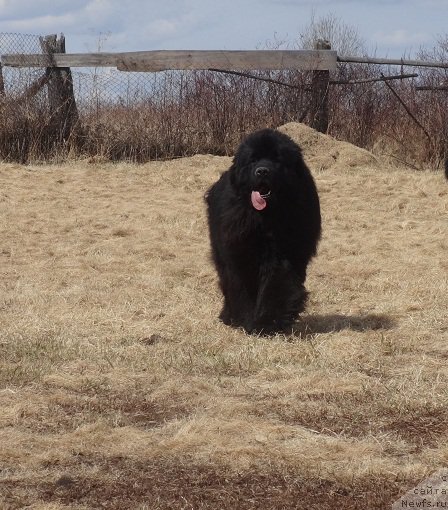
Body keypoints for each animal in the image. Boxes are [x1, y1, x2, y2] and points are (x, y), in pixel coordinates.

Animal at [206, 127, 322, 334]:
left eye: (277, 160)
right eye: (253, 160)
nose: (262, 171)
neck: (266, 217)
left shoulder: (285, 253)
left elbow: (276, 282)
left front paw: (267, 323)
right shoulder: (239, 251)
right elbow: (242, 286)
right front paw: (244, 319)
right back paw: (229, 316)